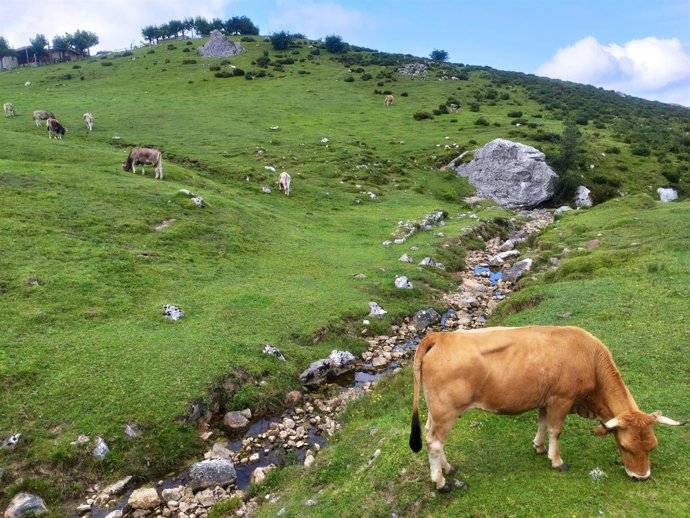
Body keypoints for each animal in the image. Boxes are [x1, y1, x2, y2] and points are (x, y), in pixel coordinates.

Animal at [409, 326, 686, 492]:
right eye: (625, 446)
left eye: (652, 446)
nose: (641, 477)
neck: (590, 359)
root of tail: (440, 336)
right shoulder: (561, 399)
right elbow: (555, 430)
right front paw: (556, 460)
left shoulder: (546, 399)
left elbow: (542, 423)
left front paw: (540, 447)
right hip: (446, 411)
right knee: (434, 443)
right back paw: (440, 482)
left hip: (436, 412)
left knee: (432, 437)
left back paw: (447, 468)